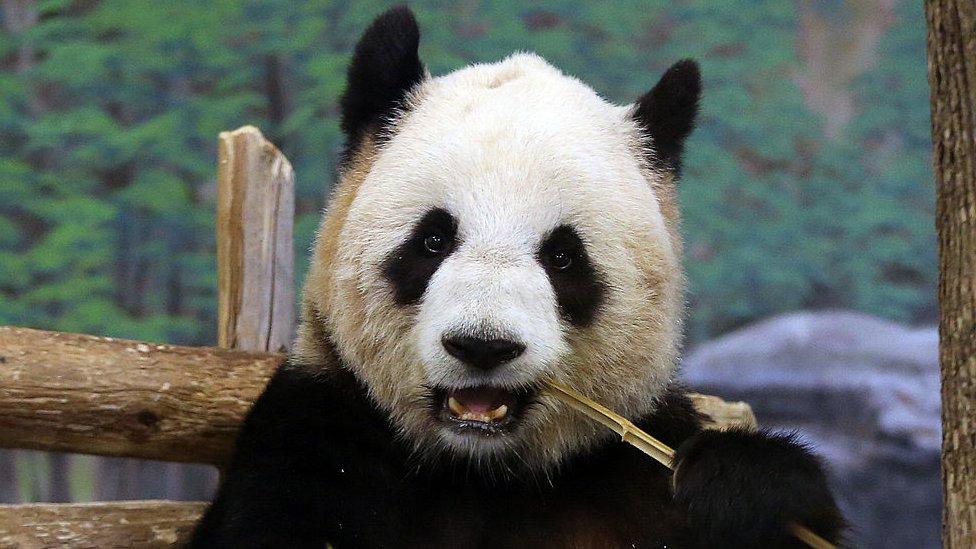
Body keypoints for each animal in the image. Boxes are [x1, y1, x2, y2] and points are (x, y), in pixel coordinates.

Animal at [189, 5, 840, 548]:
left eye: (563, 257)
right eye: (433, 239)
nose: (483, 346)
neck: (482, 471)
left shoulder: (633, 471)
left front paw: (741, 484)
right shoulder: (313, 447)